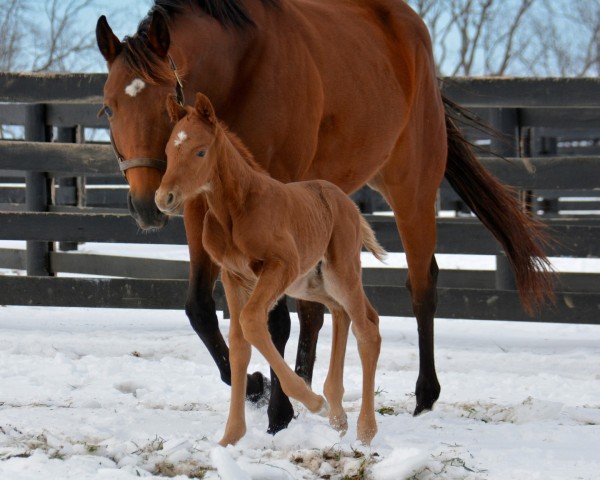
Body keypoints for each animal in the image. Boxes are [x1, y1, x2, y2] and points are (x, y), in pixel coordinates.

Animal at [157, 94, 386, 446]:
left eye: (200, 151)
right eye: (169, 151)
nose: (163, 198)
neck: (235, 210)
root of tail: (348, 203)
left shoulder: (281, 265)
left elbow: (251, 322)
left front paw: (312, 402)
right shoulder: (234, 277)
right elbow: (239, 345)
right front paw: (230, 437)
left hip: (339, 272)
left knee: (368, 328)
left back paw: (363, 428)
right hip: (310, 282)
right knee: (342, 313)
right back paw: (338, 415)